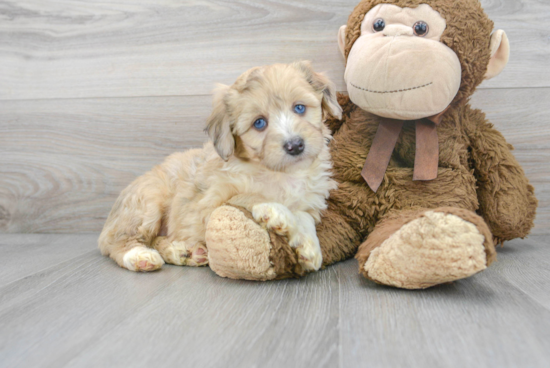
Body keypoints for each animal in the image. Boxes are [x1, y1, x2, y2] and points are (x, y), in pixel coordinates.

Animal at [99, 61, 340, 274]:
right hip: (146, 204)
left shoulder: (310, 201)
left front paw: (309, 246)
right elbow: (251, 196)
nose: (295, 145)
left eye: (299, 108)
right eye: (259, 123)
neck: (280, 173)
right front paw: (277, 212)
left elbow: (305, 217)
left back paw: (183, 252)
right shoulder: (211, 205)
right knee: (118, 242)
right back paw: (140, 256)